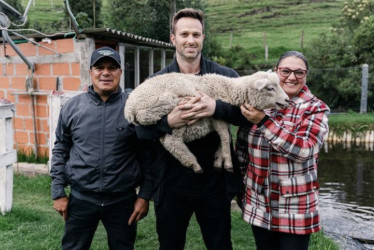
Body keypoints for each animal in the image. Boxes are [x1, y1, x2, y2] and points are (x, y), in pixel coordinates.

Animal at [125, 71, 290, 172]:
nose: (287, 100)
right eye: (270, 88)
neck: (230, 91)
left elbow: (226, 136)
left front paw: (218, 159)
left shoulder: (221, 118)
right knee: (172, 142)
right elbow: (225, 136)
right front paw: (228, 162)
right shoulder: (216, 117)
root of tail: (129, 108)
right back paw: (193, 163)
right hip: (175, 110)